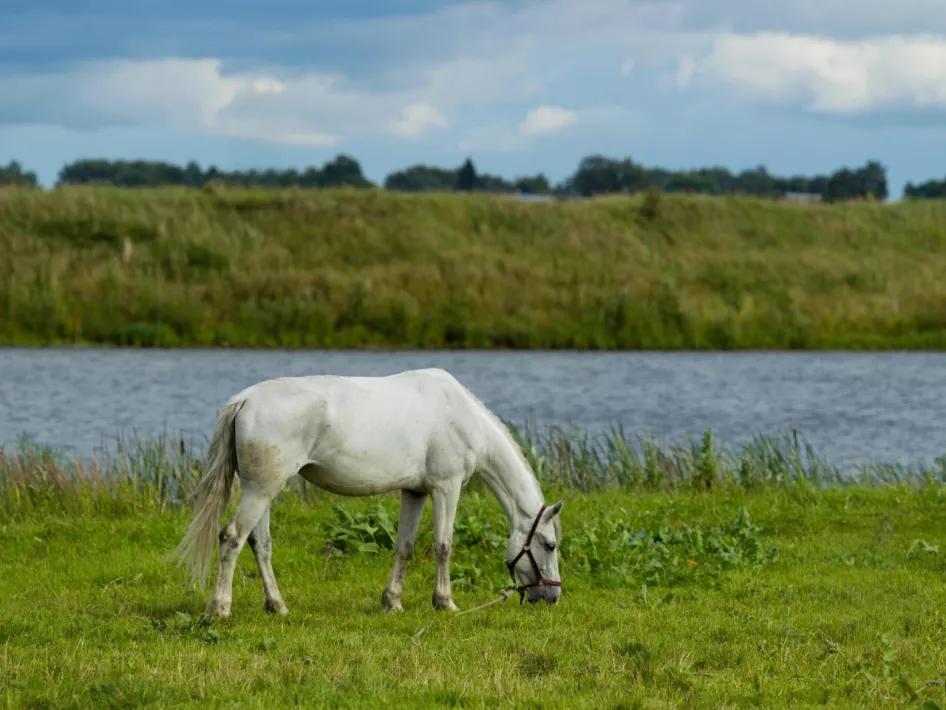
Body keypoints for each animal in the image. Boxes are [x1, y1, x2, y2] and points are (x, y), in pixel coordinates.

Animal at [172, 368, 564, 618]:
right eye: (549, 545)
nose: (553, 596)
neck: (461, 415)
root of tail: (244, 400)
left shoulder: (415, 492)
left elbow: (405, 547)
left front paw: (392, 602)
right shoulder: (446, 487)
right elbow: (443, 545)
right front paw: (445, 603)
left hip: (264, 490)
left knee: (260, 544)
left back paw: (278, 606)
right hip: (259, 491)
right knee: (232, 538)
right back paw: (219, 608)